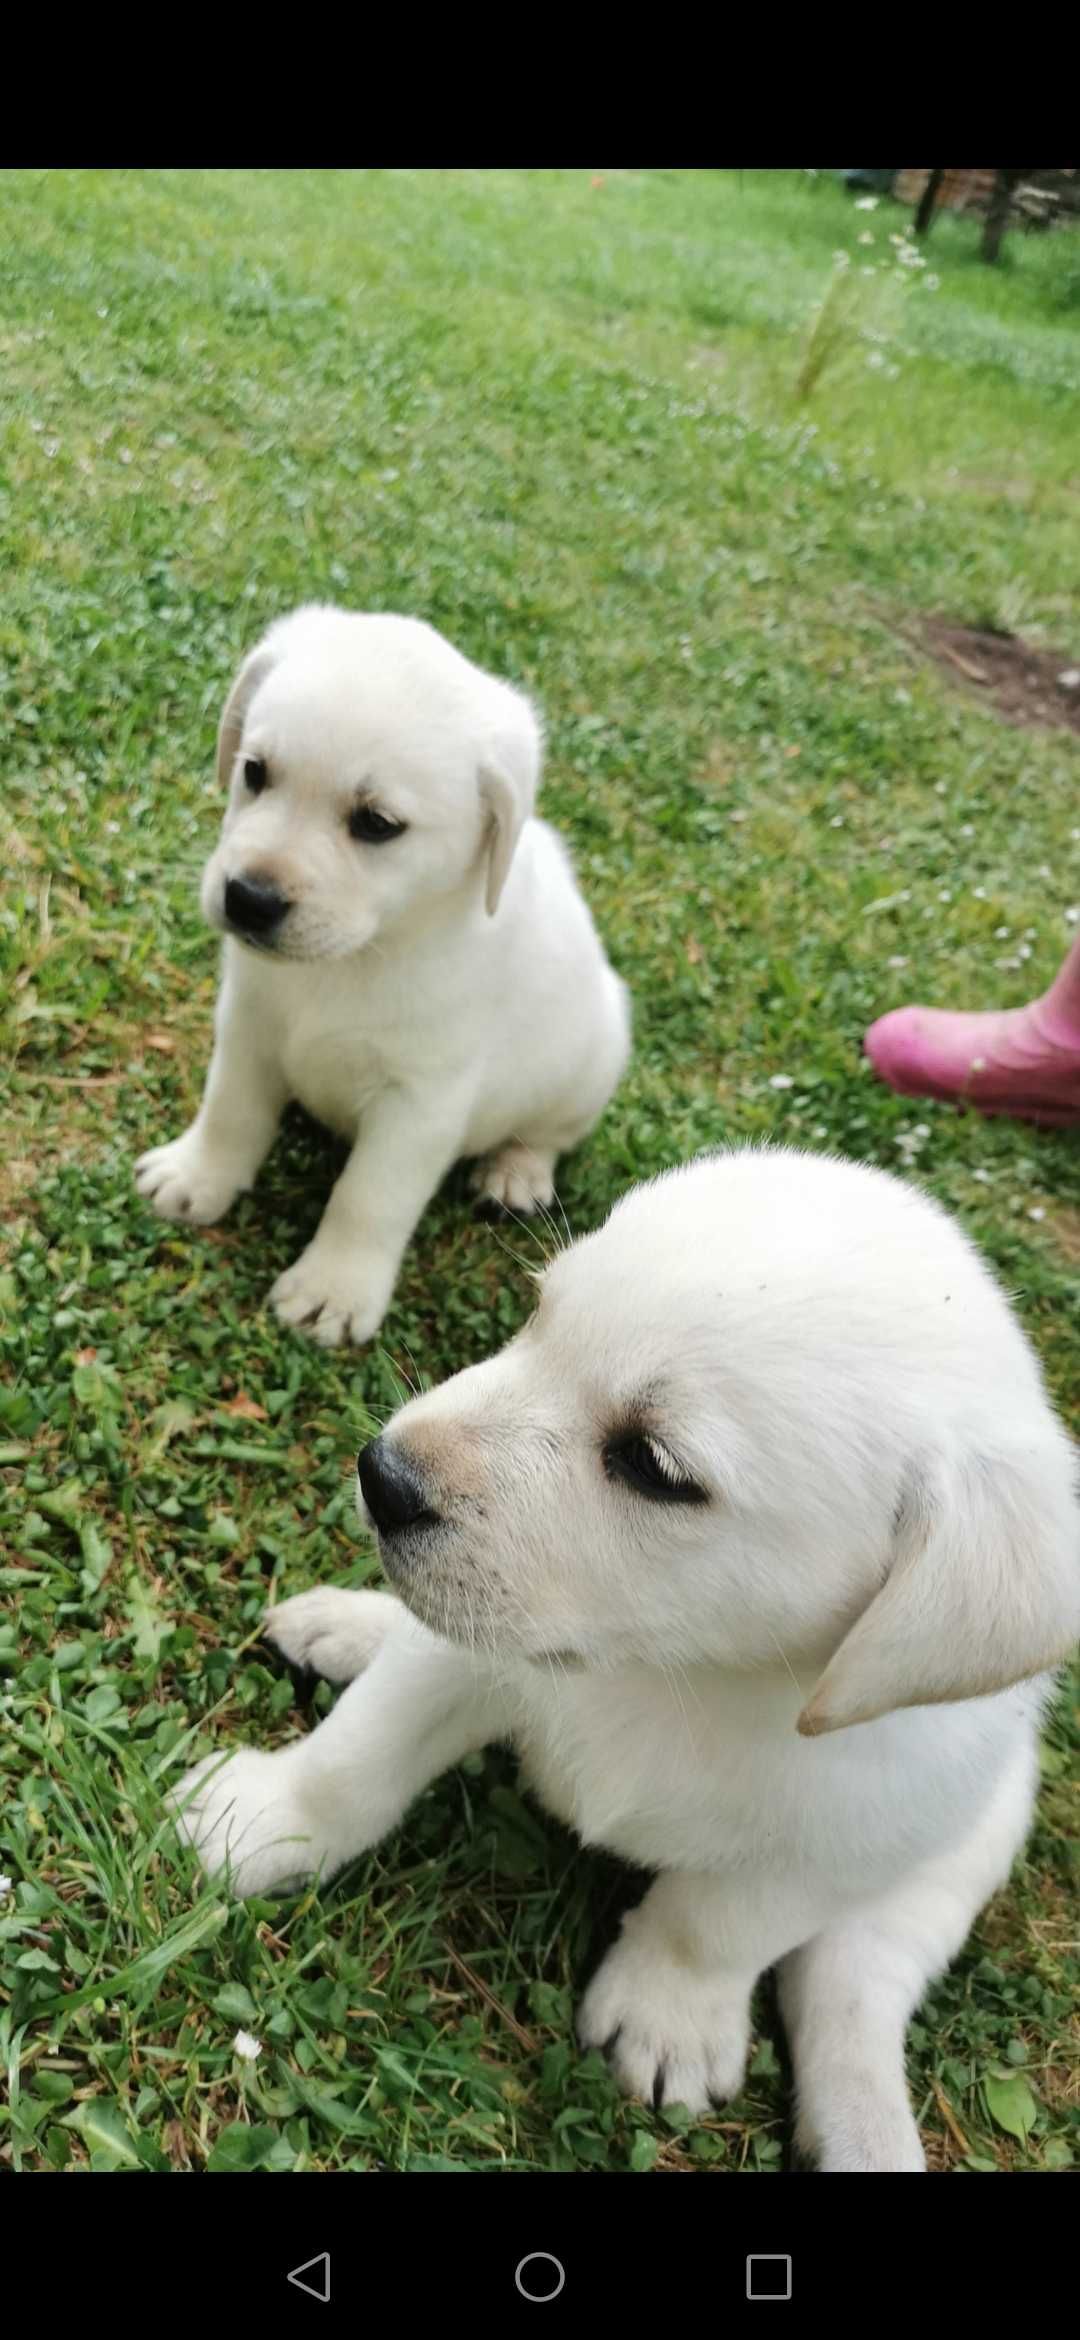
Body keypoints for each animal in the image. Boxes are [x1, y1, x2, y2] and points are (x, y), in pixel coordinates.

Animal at [136, 603, 626, 1347]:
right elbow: (229, 1112)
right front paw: (197, 1175)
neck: (361, 954)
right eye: (254, 771)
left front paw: (332, 1290)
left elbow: (368, 1197)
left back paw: (516, 1173)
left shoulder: (420, 1100)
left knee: (551, 1134)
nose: (248, 898)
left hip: (593, 1060)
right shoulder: (248, 1025)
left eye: (377, 823)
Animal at [177, 1151, 1080, 2171]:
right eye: (538, 1313)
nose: (383, 1476)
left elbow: (716, 1928)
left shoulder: (842, 1840)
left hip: (958, 1855)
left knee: (847, 1992)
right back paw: (343, 1625)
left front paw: (667, 2013)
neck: (681, 1673)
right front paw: (263, 1822)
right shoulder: (462, 1658)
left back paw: (866, 2131)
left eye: (652, 1465)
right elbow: (357, 1757)